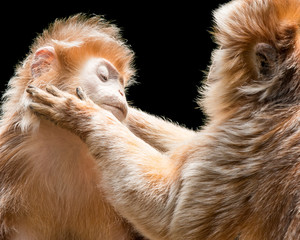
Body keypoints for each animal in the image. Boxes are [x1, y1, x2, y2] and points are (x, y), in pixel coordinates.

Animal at [25, 0, 300, 239]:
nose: (212, 66)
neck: (284, 98)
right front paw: (122, 111)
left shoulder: (247, 138)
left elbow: (170, 219)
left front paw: (81, 113)